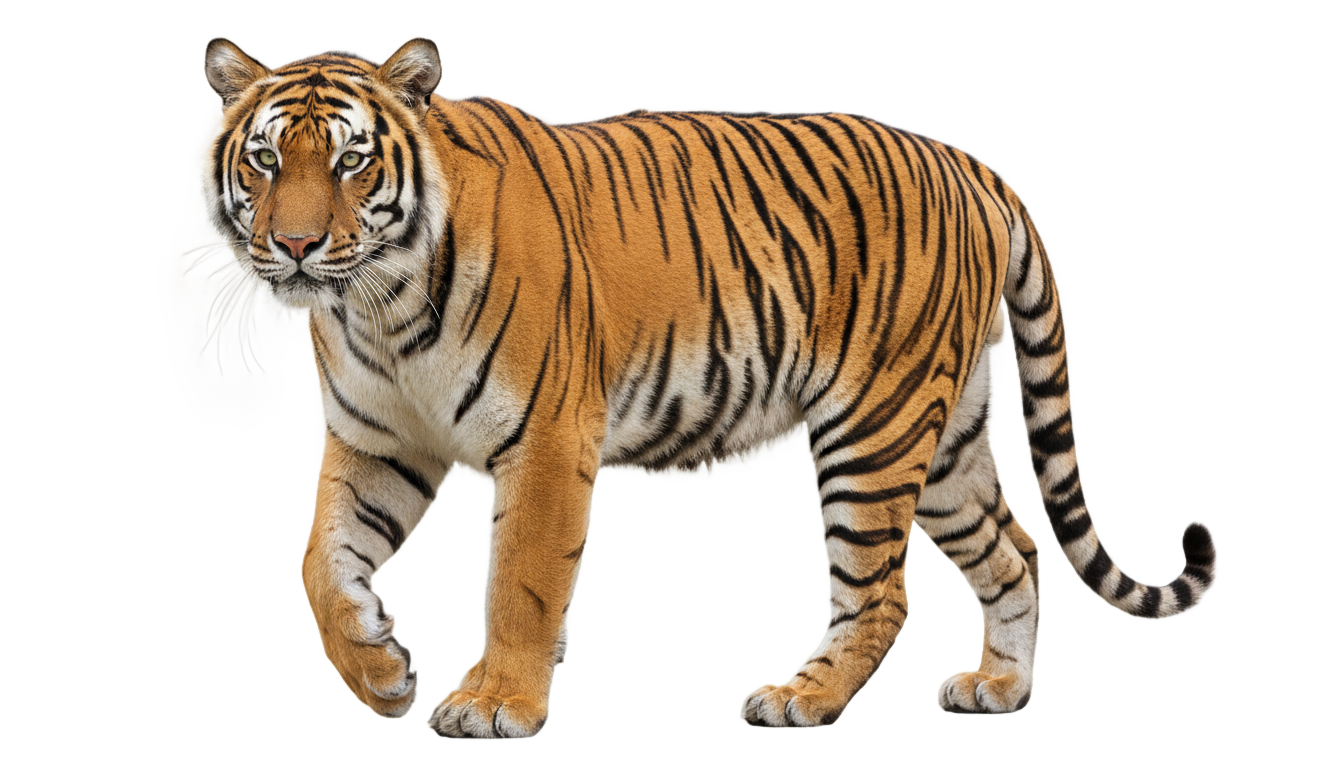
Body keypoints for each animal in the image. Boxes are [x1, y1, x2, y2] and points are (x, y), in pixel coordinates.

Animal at [200, 37, 1215, 737]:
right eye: (264, 159)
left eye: (351, 160)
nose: (295, 245)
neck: (377, 304)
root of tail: (966, 160)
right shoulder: (379, 439)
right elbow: (321, 559)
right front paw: (374, 665)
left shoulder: (546, 440)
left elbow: (521, 582)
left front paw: (495, 705)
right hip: (948, 439)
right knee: (1015, 552)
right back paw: (998, 686)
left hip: (873, 430)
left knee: (882, 594)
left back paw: (800, 699)